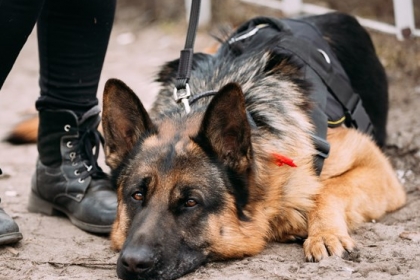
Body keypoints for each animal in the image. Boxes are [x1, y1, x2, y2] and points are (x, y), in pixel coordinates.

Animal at [100, 12, 406, 280]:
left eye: (190, 202)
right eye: (137, 195)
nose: (133, 263)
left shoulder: (376, 166)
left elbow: (327, 190)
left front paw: (325, 234)